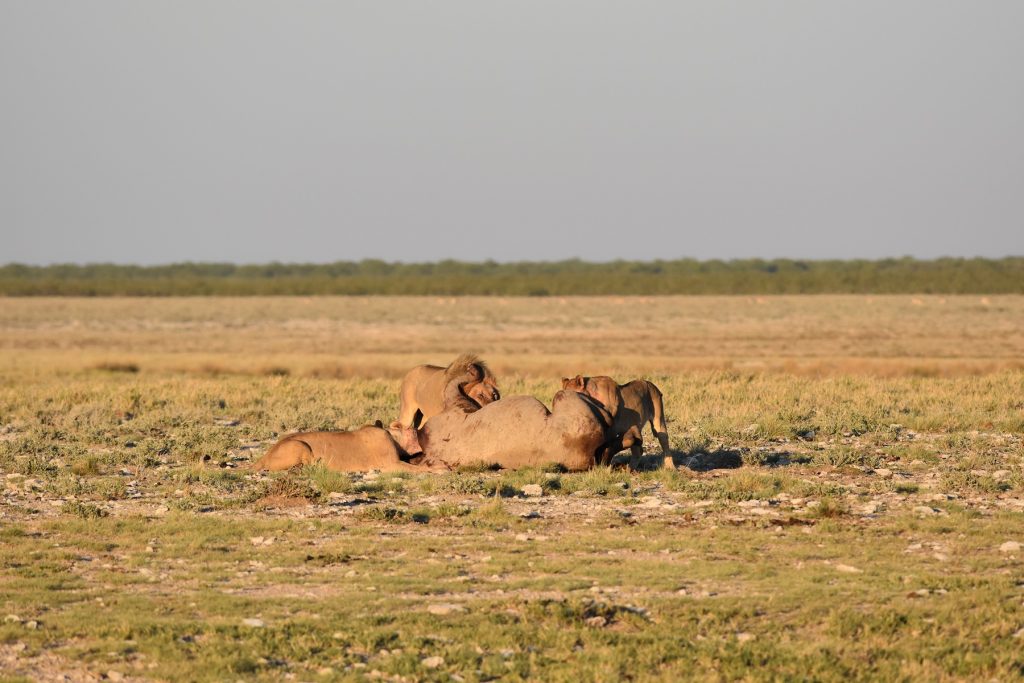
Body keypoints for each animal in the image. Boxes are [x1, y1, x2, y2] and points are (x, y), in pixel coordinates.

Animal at [251, 419, 444, 473]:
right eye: (414, 430)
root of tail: (264, 455)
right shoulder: (391, 465)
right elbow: (419, 470)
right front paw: (440, 469)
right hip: (300, 445)